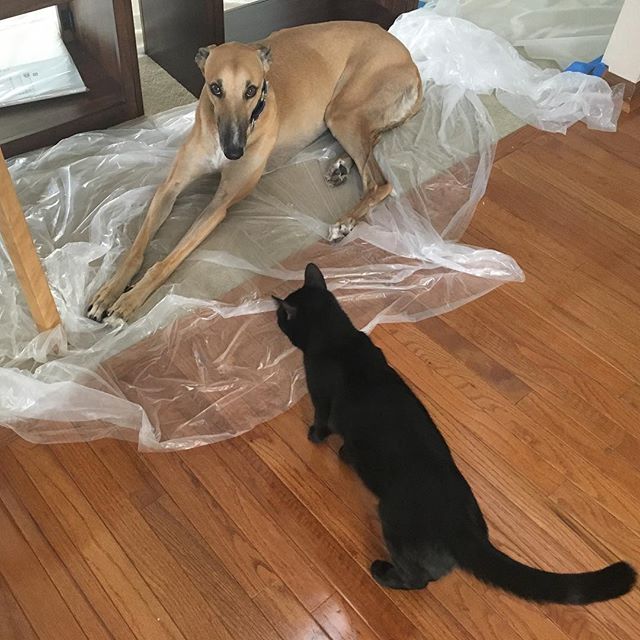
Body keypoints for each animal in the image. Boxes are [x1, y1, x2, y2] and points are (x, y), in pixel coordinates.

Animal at [87, 20, 422, 322]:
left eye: (251, 90)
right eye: (215, 88)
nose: (234, 152)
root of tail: (409, 59)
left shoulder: (219, 204)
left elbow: (167, 261)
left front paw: (130, 299)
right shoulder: (171, 187)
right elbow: (137, 248)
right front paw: (110, 291)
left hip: (342, 111)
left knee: (380, 181)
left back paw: (345, 222)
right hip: (349, 117)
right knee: (372, 145)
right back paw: (341, 166)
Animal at [272, 262, 636, 604]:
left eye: (280, 315)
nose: (274, 316)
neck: (338, 338)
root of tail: (465, 530)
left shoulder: (322, 400)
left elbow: (322, 424)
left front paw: (314, 438)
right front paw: (345, 453)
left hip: (392, 520)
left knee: (418, 579)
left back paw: (382, 572)